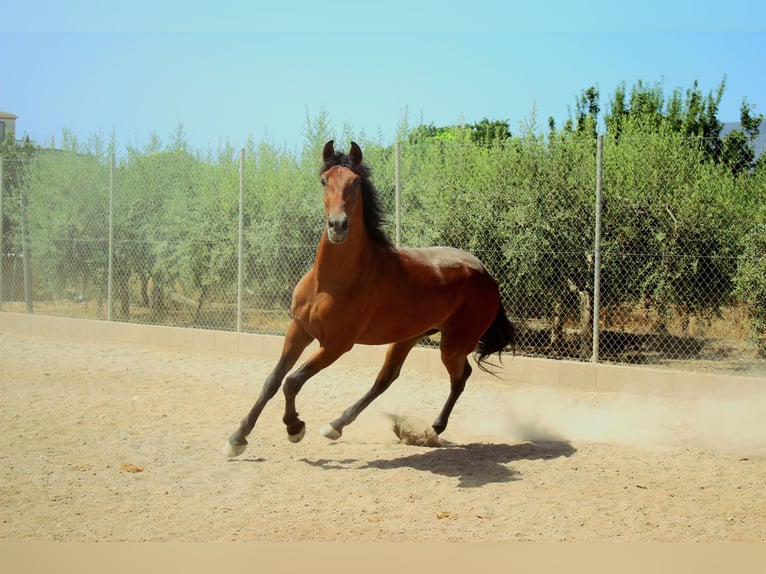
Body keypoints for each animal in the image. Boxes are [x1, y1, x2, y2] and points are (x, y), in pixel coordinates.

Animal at [225, 141, 520, 460]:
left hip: (452, 346)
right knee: (386, 378)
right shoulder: (299, 330)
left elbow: (292, 381)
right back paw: (336, 426)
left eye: (355, 182)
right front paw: (237, 438)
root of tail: (486, 274)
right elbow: (272, 381)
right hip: (407, 337)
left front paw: (295, 428)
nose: (338, 226)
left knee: (460, 376)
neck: (329, 284)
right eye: (324, 180)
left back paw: (434, 428)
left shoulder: (336, 345)